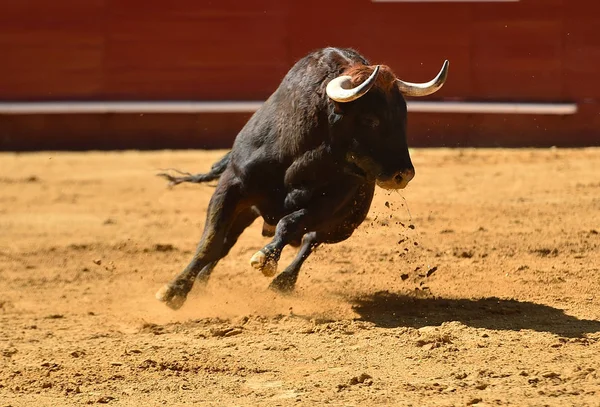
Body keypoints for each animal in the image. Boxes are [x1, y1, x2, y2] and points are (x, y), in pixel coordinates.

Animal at [157, 47, 448, 310]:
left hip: (345, 225)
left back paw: (283, 282)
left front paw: (266, 259)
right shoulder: (232, 186)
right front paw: (174, 291)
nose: (403, 174)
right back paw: (201, 284)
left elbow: (291, 225)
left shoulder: (331, 201)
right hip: (248, 209)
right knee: (227, 243)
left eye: (403, 116)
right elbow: (212, 240)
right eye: (370, 119)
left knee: (310, 240)